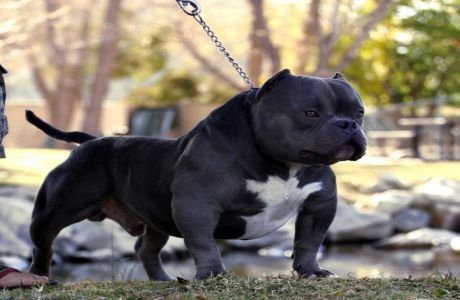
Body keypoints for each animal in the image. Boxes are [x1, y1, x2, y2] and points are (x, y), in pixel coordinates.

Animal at [27, 69, 368, 280]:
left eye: (359, 112)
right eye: (311, 113)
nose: (348, 124)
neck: (282, 165)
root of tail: (91, 142)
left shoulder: (319, 205)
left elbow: (309, 240)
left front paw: (311, 271)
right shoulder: (197, 204)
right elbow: (204, 243)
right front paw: (212, 273)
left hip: (156, 220)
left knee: (145, 249)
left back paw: (163, 280)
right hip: (55, 210)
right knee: (44, 244)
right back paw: (39, 277)